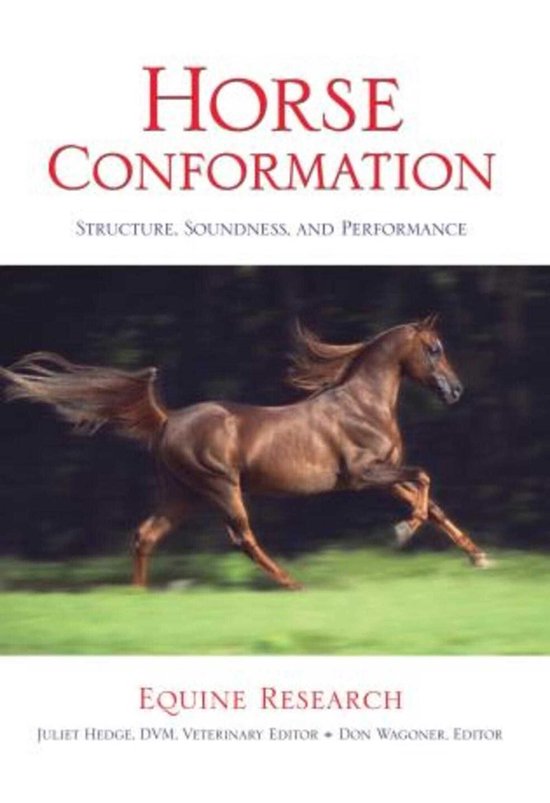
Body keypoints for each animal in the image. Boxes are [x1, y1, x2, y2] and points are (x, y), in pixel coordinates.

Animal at [0, 315, 488, 589]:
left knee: (146, 535)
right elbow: (424, 478)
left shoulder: (384, 474)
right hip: (220, 487)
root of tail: (166, 419)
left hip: (183, 495)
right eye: (434, 349)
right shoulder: (362, 474)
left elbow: (433, 502)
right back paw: (293, 583)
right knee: (242, 538)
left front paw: (479, 556)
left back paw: (138, 596)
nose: (456, 391)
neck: (363, 404)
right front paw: (402, 532)